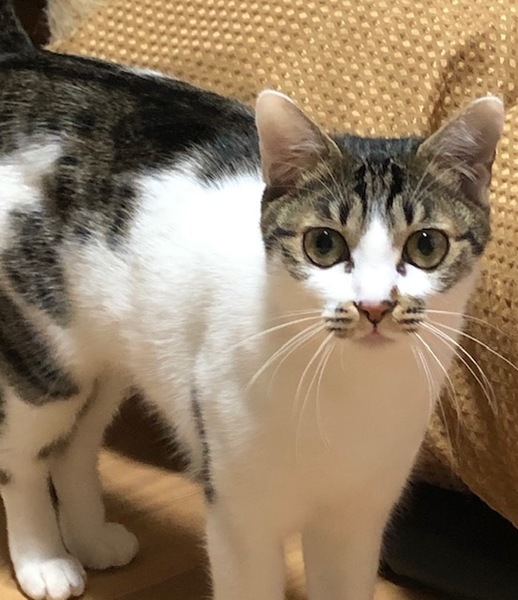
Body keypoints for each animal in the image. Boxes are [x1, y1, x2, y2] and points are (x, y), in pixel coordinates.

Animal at [0, 2, 504, 600]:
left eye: (427, 246)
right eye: (323, 245)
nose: (375, 306)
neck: (351, 392)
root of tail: (22, 60)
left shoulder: (356, 517)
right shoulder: (241, 516)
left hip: (115, 352)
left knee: (74, 445)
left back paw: (93, 539)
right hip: (45, 356)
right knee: (23, 457)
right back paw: (44, 559)